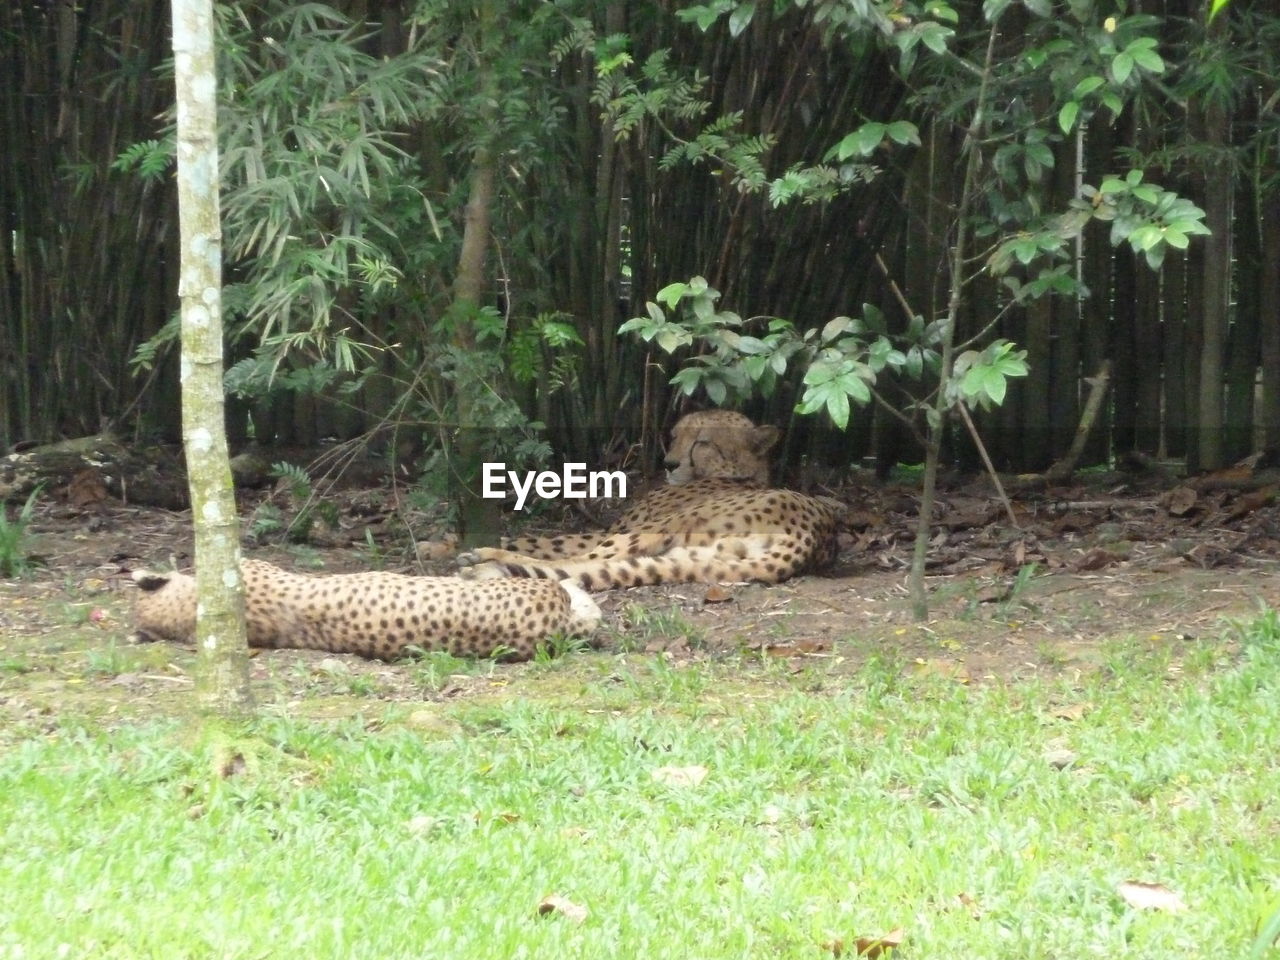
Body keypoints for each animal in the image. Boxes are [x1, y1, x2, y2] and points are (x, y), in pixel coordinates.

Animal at [455, 412, 844, 591]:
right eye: (675, 436)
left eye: (702, 442)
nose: (669, 463)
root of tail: (814, 534)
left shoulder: (616, 529)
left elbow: (544, 543)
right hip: (694, 556)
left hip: (659, 528)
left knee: (578, 563)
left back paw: (482, 559)